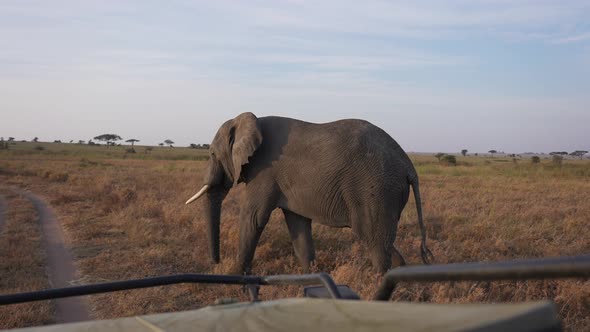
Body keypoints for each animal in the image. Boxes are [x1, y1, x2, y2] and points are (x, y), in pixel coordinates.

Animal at [186, 113, 434, 274]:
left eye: (211, 154)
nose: (215, 263)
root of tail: (408, 165)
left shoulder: (264, 171)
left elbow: (253, 217)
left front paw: (237, 277)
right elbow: (297, 223)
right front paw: (311, 278)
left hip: (376, 189)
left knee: (374, 241)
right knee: (382, 241)